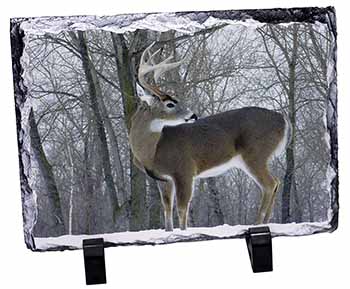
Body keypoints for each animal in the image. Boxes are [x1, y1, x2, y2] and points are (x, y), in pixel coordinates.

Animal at [127, 42, 292, 231]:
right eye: (169, 104)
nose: (193, 115)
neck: (152, 151)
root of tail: (283, 118)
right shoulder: (163, 179)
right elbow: (167, 209)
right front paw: (169, 232)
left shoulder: (184, 169)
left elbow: (182, 209)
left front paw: (183, 232)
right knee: (275, 183)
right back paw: (265, 223)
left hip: (255, 154)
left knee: (270, 184)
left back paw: (257, 224)